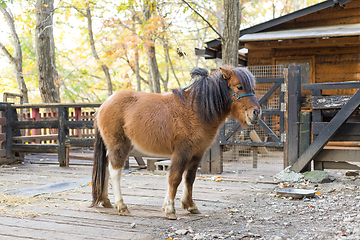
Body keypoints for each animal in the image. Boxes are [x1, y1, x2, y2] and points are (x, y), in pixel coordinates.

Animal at [92, 65, 262, 219]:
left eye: (253, 88)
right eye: (239, 87)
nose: (256, 112)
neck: (195, 110)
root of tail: (104, 105)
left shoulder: (197, 153)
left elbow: (189, 178)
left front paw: (190, 205)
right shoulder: (182, 152)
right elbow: (175, 178)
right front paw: (170, 209)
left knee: (105, 167)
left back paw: (106, 200)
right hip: (119, 146)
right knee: (115, 171)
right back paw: (121, 205)